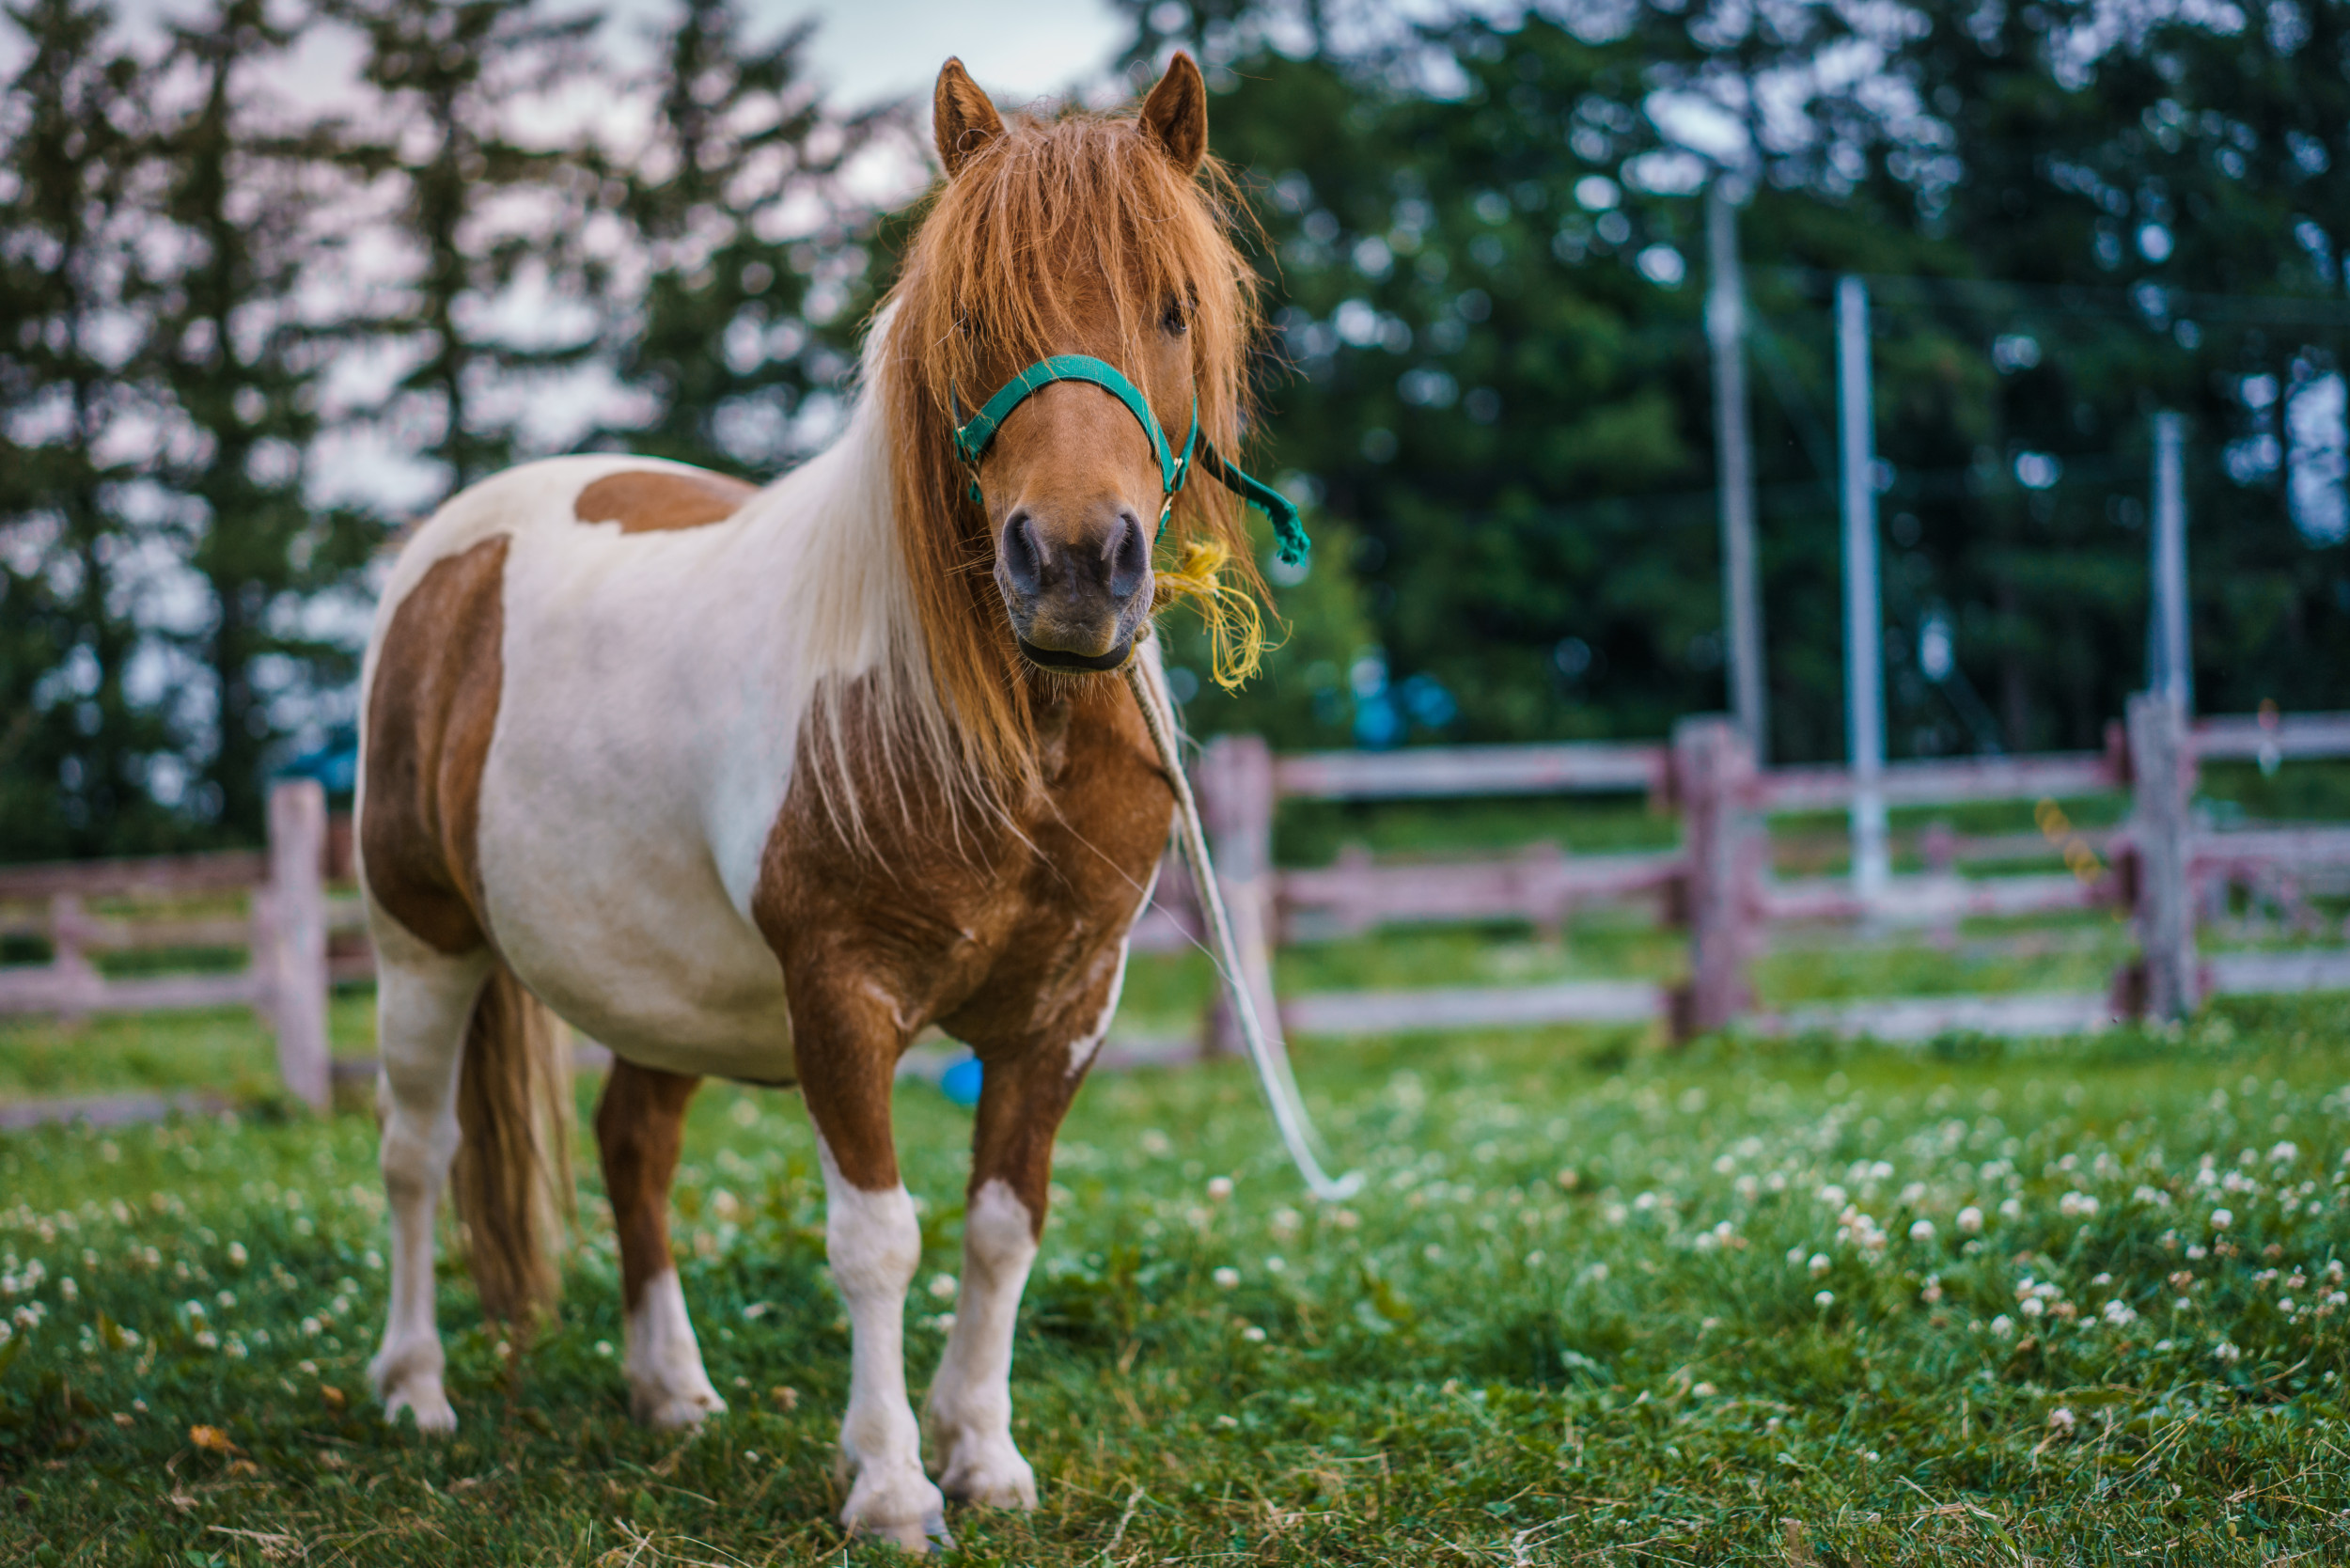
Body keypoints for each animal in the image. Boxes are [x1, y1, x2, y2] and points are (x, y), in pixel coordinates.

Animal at [355, 52, 1283, 1549]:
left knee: (633, 1147)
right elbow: (878, 1238)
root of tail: (448, 552)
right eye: (970, 312)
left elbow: (1001, 1224)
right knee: (415, 1152)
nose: (1075, 569)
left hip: (658, 979)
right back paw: (414, 1389)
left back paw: (670, 1391)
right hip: (418, 940)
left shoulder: (1065, 1007)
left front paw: (985, 1457)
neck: (996, 731)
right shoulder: (841, 994)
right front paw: (894, 1486)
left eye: (1174, 305)